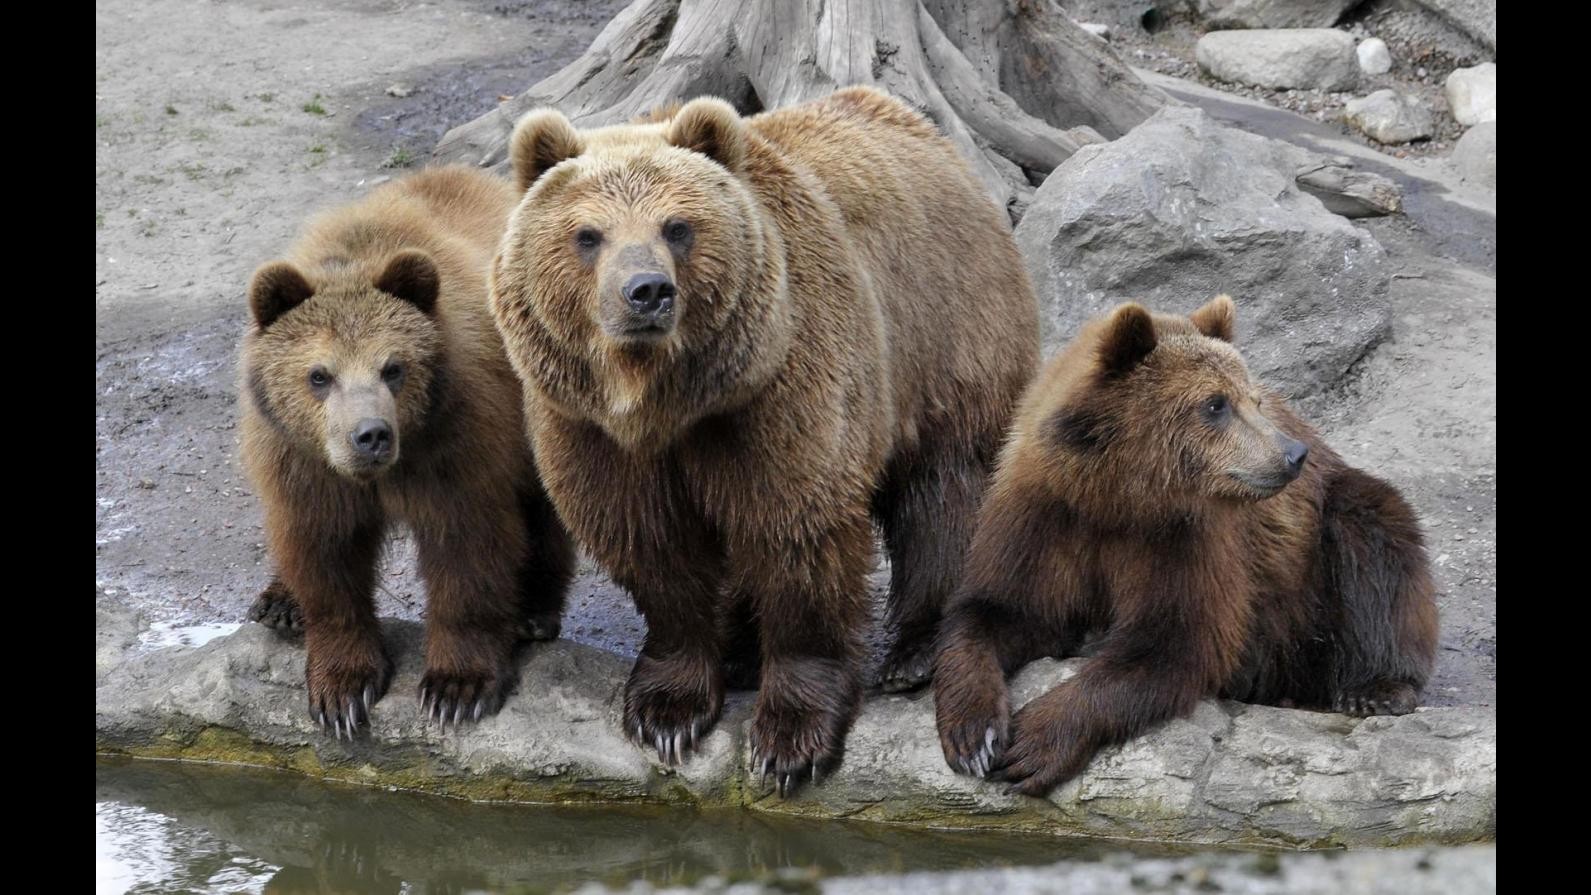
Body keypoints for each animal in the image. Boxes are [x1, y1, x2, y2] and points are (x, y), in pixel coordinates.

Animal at [238, 166, 575, 734]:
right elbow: (324, 557)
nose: (371, 434)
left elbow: (467, 552)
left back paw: (534, 608)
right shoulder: (303, 465)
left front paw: (456, 688)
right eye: (319, 375)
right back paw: (279, 603)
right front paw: (342, 690)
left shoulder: (456, 442)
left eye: (393, 367)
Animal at [496, 87, 1043, 794]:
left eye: (677, 226)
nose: (647, 291)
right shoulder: (590, 429)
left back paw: (915, 651)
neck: (665, 401)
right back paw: (738, 650)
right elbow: (653, 544)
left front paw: (788, 740)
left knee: (944, 488)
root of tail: (912, 121)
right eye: (588, 235)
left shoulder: (778, 390)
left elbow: (795, 531)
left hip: (944, 332)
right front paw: (667, 711)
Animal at [929, 295, 1444, 798]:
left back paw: (1375, 687)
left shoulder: (1185, 541)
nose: (1293, 454)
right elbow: (997, 610)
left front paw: (1035, 743)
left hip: (1314, 556)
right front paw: (974, 736)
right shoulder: (1042, 518)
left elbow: (1175, 642)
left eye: (1253, 398)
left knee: (1376, 541)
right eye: (1215, 403)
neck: (1116, 497)